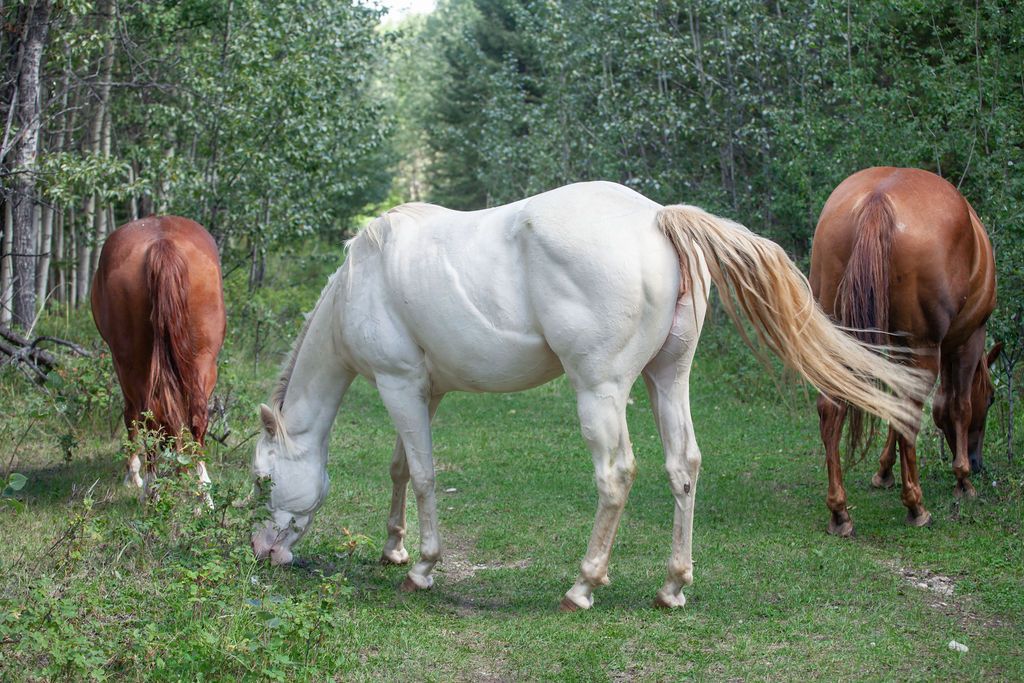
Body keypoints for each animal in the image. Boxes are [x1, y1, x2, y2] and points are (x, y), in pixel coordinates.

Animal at [91, 216, 226, 493]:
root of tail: (162, 244)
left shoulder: (121, 366)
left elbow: (130, 416)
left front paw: (132, 474)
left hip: (132, 363)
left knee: (145, 416)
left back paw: (150, 487)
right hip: (204, 362)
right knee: (197, 416)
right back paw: (202, 492)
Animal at [251, 181, 930, 610]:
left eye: (262, 478)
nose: (262, 552)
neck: (358, 280)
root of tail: (658, 218)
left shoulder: (399, 385)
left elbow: (421, 474)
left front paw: (421, 567)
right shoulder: (423, 391)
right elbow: (398, 468)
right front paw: (393, 547)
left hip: (599, 393)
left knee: (616, 476)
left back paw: (583, 586)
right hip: (667, 380)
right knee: (683, 466)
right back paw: (672, 586)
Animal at [809, 167, 999, 537]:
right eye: (992, 398)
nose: (979, 462)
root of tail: (878, 199)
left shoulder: (897, 350)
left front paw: (883, 472)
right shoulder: (970, 339)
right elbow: (960, 405)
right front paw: (963, 480)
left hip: (842, 336)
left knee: (832, 407)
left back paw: (840, 513)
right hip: (924, 347)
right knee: (912, 409)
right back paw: (916, 506)